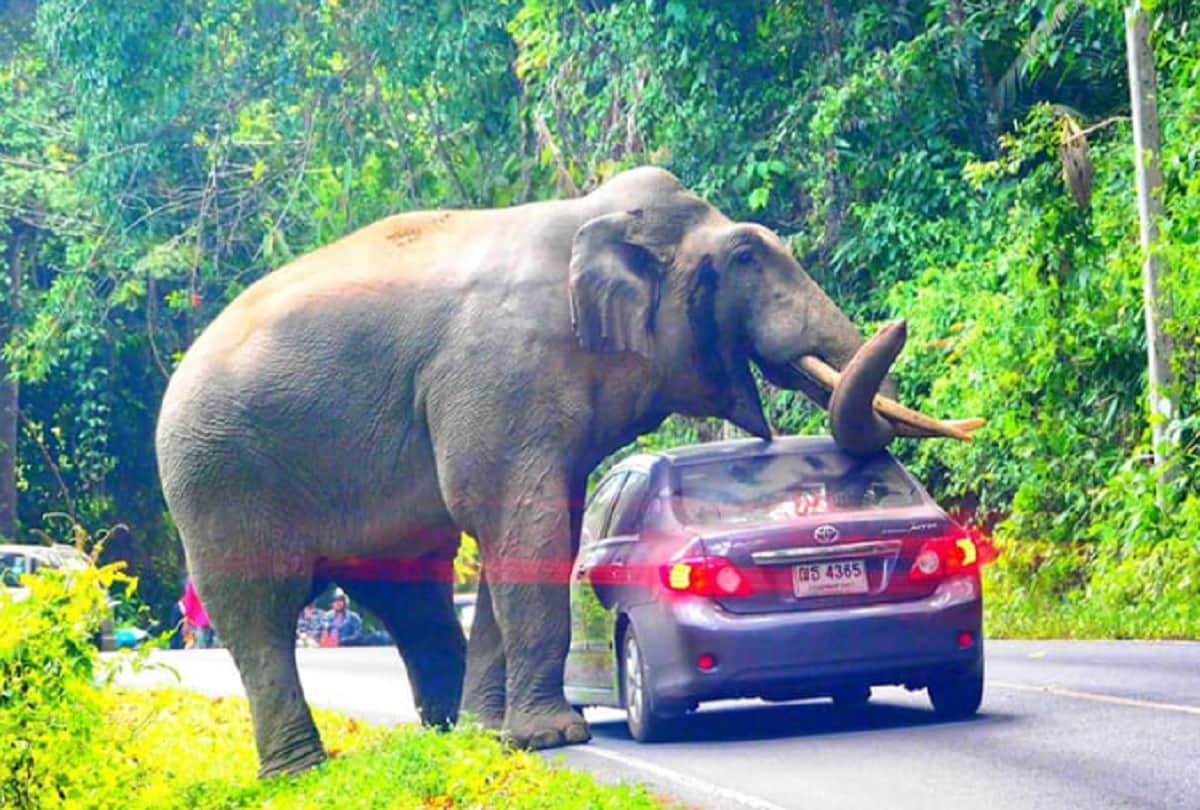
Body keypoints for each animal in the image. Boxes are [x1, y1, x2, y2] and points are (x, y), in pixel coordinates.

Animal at [155, 166, 974, 777]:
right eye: (744, 258)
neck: (586, 219)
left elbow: (527, 532)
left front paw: (502, 737)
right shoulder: (499, 374)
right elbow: (523, 521)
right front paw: (554, 739)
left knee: (409, 593)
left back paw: (451, 738)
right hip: (215, 474)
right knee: (259, 611)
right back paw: (301, 772)